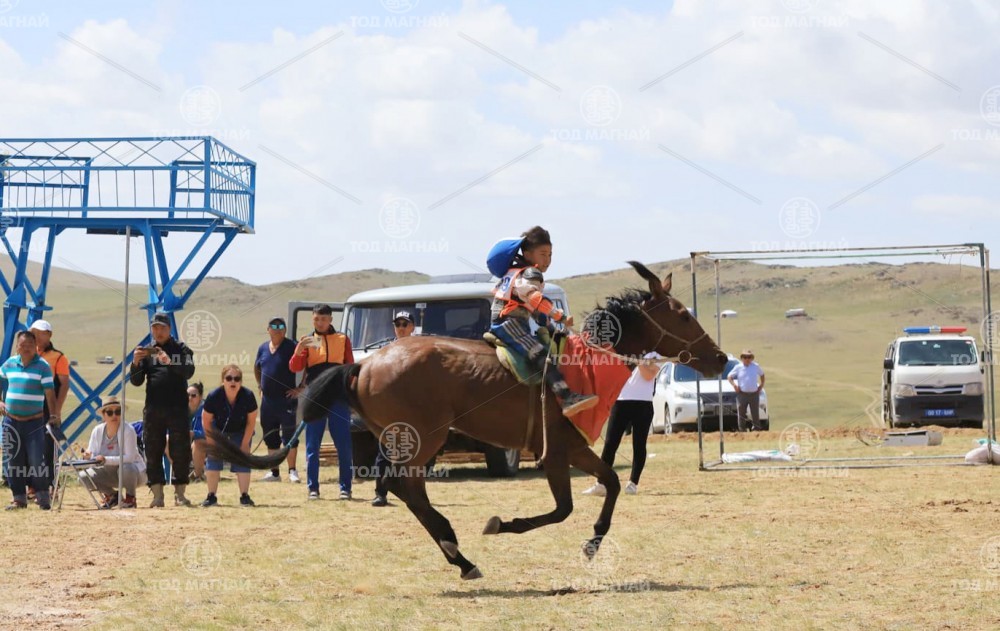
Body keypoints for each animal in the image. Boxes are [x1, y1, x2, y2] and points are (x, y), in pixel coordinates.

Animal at [208, 261, 727, 580]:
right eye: (682, 316)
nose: (720, 358)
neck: (585, 364)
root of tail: (362, 365)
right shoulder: (558, 450)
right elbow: (562, 508)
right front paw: (504, 525)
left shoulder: (575, 448)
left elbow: (611, 485)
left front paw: (594, 543)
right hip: (422, 438)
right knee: (405, 489)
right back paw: (459, 553)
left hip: (408, 440)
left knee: (403, 489)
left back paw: (457, 553)